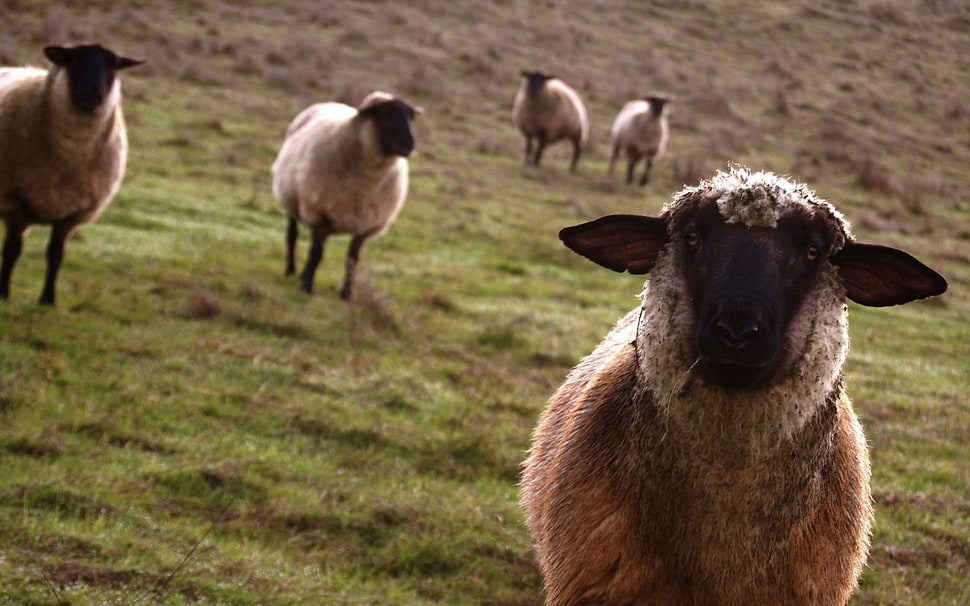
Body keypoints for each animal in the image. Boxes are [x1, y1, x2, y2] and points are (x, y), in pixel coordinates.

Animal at [0, 44, 143, 305]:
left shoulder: (72, 213)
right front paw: (3, 294)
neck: (70, 157)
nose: (92, 94)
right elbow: (12, 250)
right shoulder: (15, 202)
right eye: (73, 61)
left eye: (113, 66)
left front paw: (48, 300)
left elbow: (56, 254)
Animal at [272, 91, 421, 300]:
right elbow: (316, 253)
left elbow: (352, 259)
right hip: (291, 200)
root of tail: (330, 102)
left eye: (410, 117)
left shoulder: (366, 223)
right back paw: (291, 271)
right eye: (386, 114)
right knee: (292, 236)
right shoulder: (320, 214)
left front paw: (346, 294)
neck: (365, 182)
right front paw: (307, 286)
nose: (409, 145)